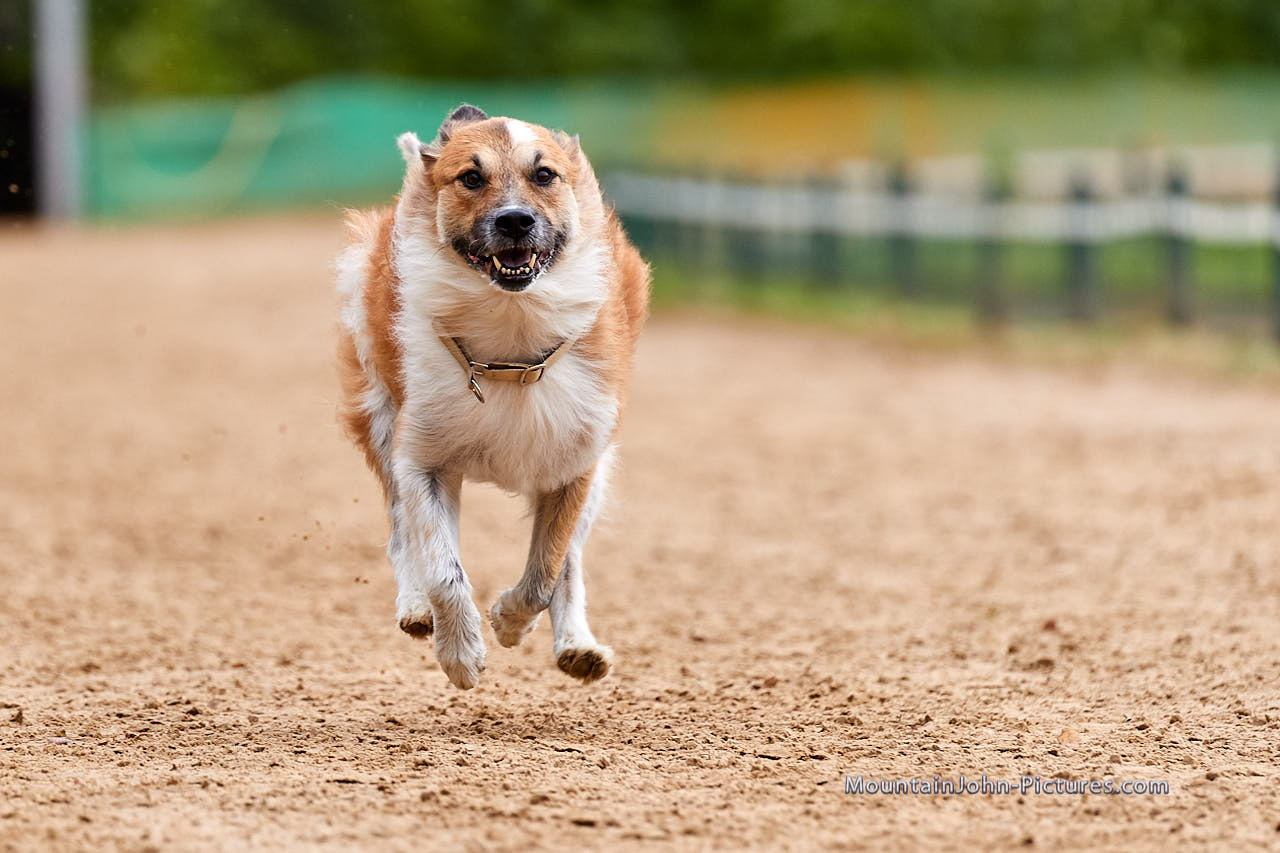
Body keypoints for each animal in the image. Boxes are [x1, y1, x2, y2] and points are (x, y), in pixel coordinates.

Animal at [335, 105, 649, 689]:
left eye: (544, 174)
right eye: (470, 178)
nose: (514, 221)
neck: (511, 339)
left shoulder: (577, 465)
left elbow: (548, 570)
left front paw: (508, 621)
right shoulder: (423, 461)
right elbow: (444, 569)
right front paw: (461, 654)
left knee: (570, 559)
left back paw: (577, 648)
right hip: (382, 419)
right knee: (401, 533)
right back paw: (416, 609)